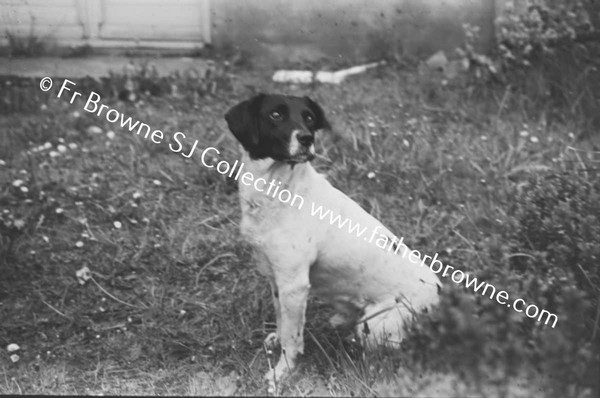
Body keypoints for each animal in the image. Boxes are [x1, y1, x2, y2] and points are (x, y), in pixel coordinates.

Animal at [225, 94, 440, 392]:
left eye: (309, 117)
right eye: (276, 115)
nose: (306, 138)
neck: (279, 191)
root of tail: (441, 298)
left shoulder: (294, 284)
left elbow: (292, 338)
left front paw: (281, 373)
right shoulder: (276, 277)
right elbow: (281, 320)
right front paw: (276, 341)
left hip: (377, 326)